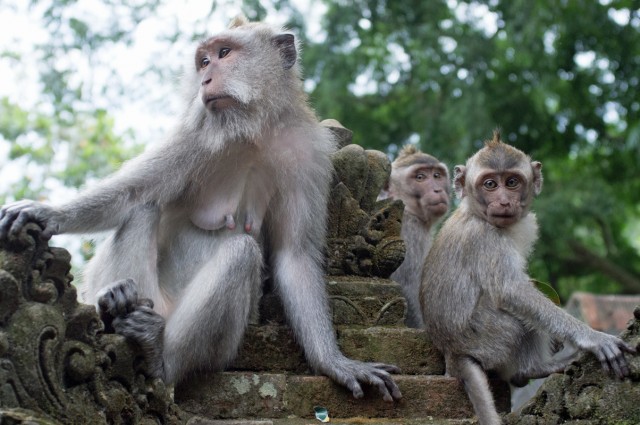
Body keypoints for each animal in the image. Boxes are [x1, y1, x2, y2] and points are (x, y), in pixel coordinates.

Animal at [0, 17, 402, 402]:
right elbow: (131, 192)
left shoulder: (310, 155)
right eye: (204, 61)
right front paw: (49, 214)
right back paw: (116, 307)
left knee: (239, 253)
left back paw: (159, 356)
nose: (206, 78)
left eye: (224, 53)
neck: (253, 130)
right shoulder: (193, 133)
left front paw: (334, 363)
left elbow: (295, 255)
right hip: (151, 293)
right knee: (144, 209)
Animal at [419, 131, 635, 425]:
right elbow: (513, 291)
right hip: (486, 337)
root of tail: (452, 352)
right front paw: (593, 337)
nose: (503, 201)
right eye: (490, 184)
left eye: (511, 182)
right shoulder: (485, 239)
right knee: (516, 318)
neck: (476, 214)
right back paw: (534, 368)